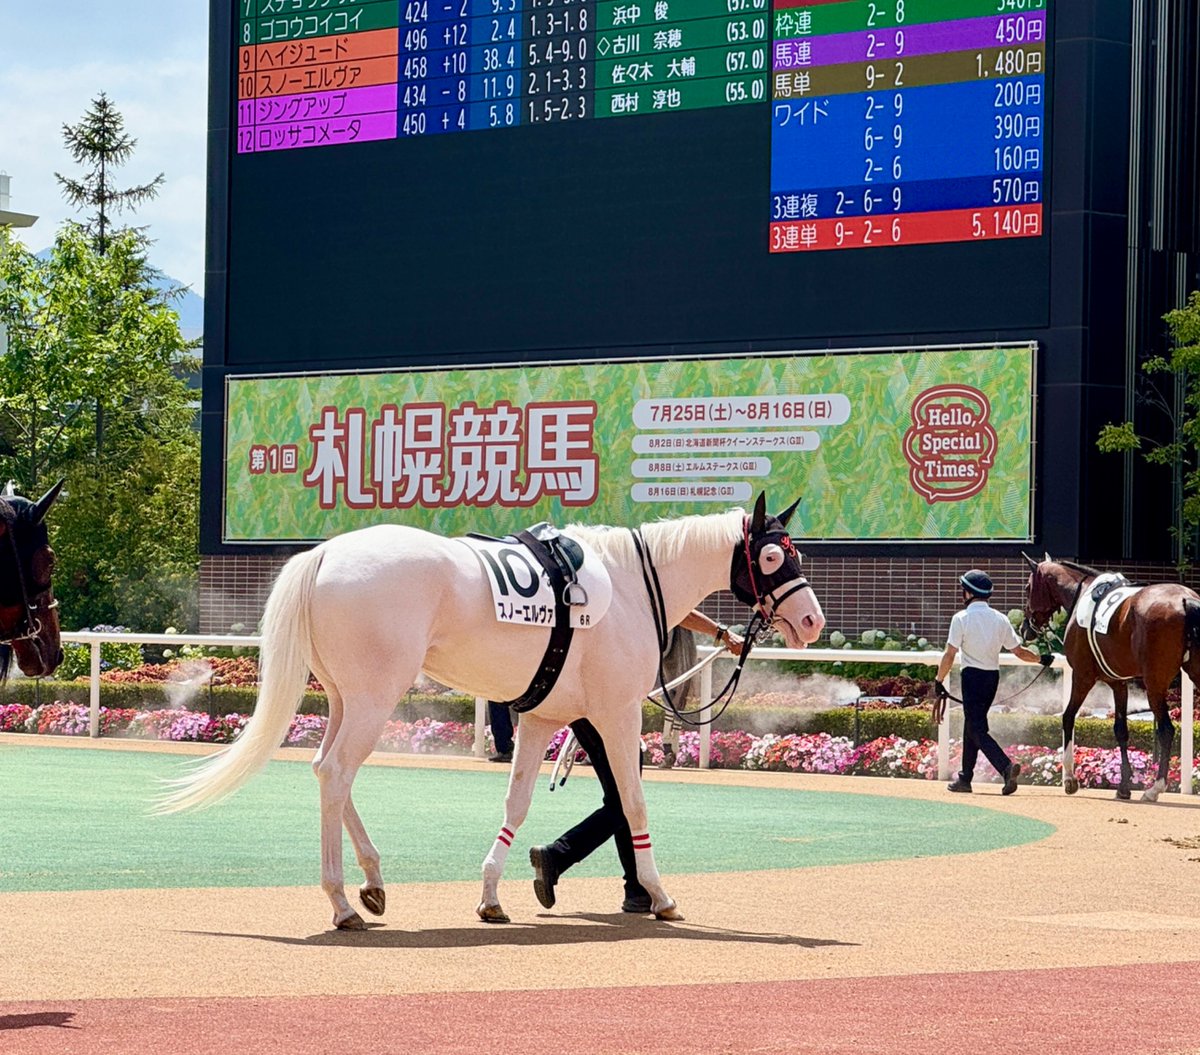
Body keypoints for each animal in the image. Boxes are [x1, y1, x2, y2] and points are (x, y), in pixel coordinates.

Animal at [159, 492, 826, 929]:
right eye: (773, 557)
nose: (812, 620)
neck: (634, 581)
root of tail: (322, 556)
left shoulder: (541, 718)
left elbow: (518, 803)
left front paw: (492, 895)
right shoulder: (615, 713)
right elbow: (632, 801)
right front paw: (659, 894)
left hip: (346, 696)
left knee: (326, 769)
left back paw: (373, 882)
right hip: (376, 695)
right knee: (336, 773)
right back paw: (343, 902)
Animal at [1022, 553, 1200, 801]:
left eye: (1028, 587)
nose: (1025, 628)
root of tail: (1185, 600)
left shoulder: (1083, 676)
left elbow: (1068, 717)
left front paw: (1069, 779)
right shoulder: (1118, 683)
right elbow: (1121, 730)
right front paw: (1124, 786)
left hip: (1154, 684)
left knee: (1166, 730)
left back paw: (1154, 788)